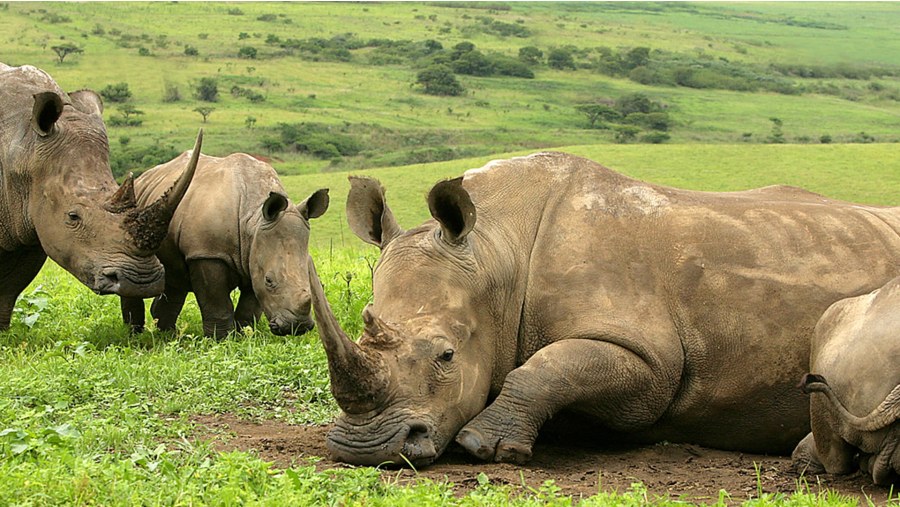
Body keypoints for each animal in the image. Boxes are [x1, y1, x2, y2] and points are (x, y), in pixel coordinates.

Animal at [121, 154, 326, 338]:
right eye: (269, 281)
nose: (297, 327)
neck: (253, 221)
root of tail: (142, 177)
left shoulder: (253, 255)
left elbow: (249, 308)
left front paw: (244, 337)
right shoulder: (207, 252)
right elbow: (217, 303)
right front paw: (221, 341)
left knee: (176, 279)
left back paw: (167, 335)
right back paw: (136, 335)